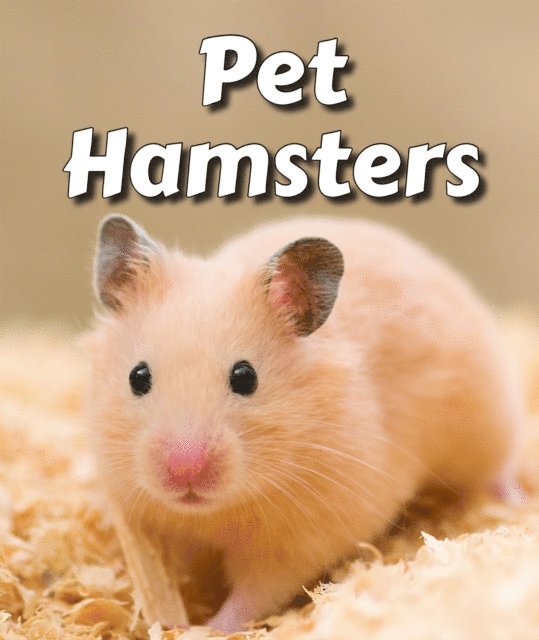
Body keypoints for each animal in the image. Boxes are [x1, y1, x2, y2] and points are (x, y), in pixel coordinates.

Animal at [87, 214, 523, 632]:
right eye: (138, 377)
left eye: (245, 377)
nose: (183, 472)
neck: (214, 511)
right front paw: (167, 615)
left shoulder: (301, 538)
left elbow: (252, 595)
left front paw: (202, 627)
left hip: (487, 420)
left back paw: (513, 502)